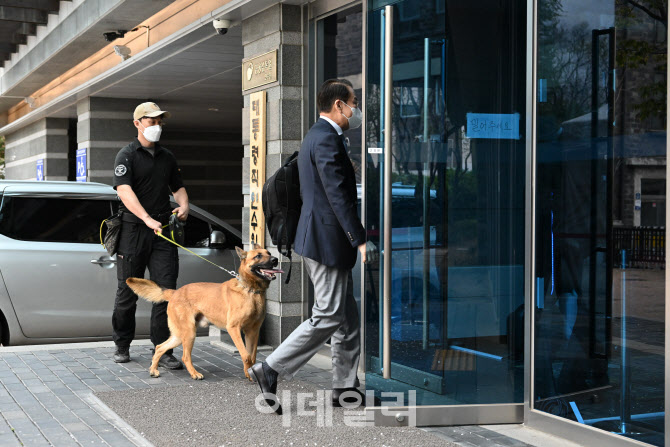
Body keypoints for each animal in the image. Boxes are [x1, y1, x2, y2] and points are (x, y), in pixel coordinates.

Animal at [126, 245, 284, 382]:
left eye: (269, 253)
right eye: (258, 256)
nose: (276, 259)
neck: (250, 290)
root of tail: (175, 292)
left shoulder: (253, 332)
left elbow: (252, 356)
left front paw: (251, 373)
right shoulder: (234, 329)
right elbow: (245, 355)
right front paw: (250, 374)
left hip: (179, 335)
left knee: (160, 347)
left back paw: (153, 370)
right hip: (189, 333)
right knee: (185, 357)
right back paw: (194, 374)